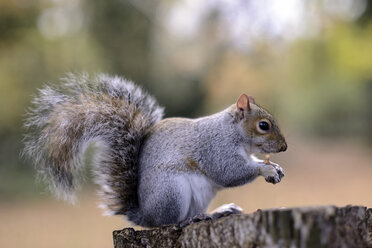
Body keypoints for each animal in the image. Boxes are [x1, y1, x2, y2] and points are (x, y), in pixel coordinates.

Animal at [23, 72, 288, 228]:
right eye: (263, 125)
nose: (284, 147)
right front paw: (265, 170)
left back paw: (217, 212)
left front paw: (274, 167)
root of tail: (146, 216)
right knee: (169, 223)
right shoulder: (215, 148)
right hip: (172, 191)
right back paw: (192, 218)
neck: (235, 133)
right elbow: (230, 172)